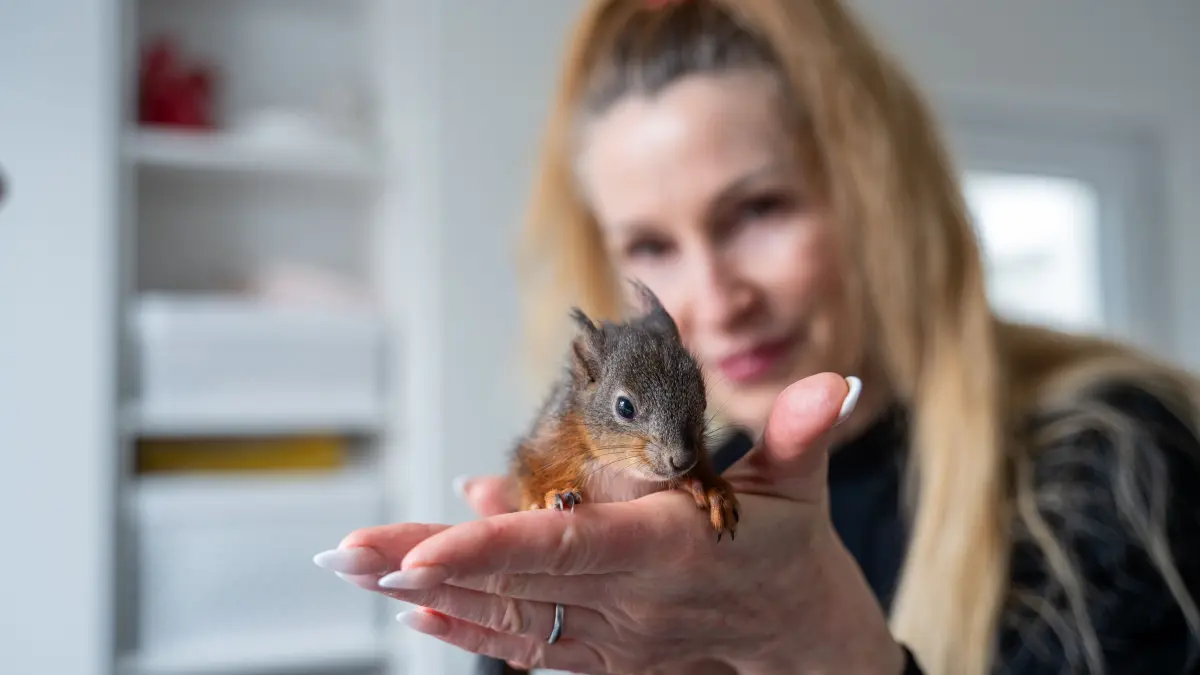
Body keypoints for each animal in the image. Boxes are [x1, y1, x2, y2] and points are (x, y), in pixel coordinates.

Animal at [507, 280, 740, 541]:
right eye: (625, 407)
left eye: (702, 399)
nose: (684, 460)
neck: (621, 469)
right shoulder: (544, 445)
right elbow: (529, 477)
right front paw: (552, 494)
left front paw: (712, 491)